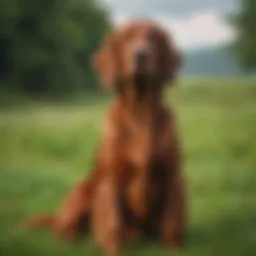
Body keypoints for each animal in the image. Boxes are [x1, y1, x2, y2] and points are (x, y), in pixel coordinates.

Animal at [22, 20, 186, 256]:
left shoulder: (172, 175)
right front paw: (113, 249)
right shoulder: (110, 180)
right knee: (64, 229)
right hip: (82, 191)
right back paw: (70, 242)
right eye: (126, 38)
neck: (140, 112)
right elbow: (112, 223)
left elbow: (172, 222)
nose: (141, 54)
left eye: (154, 37)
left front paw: (174, 249)